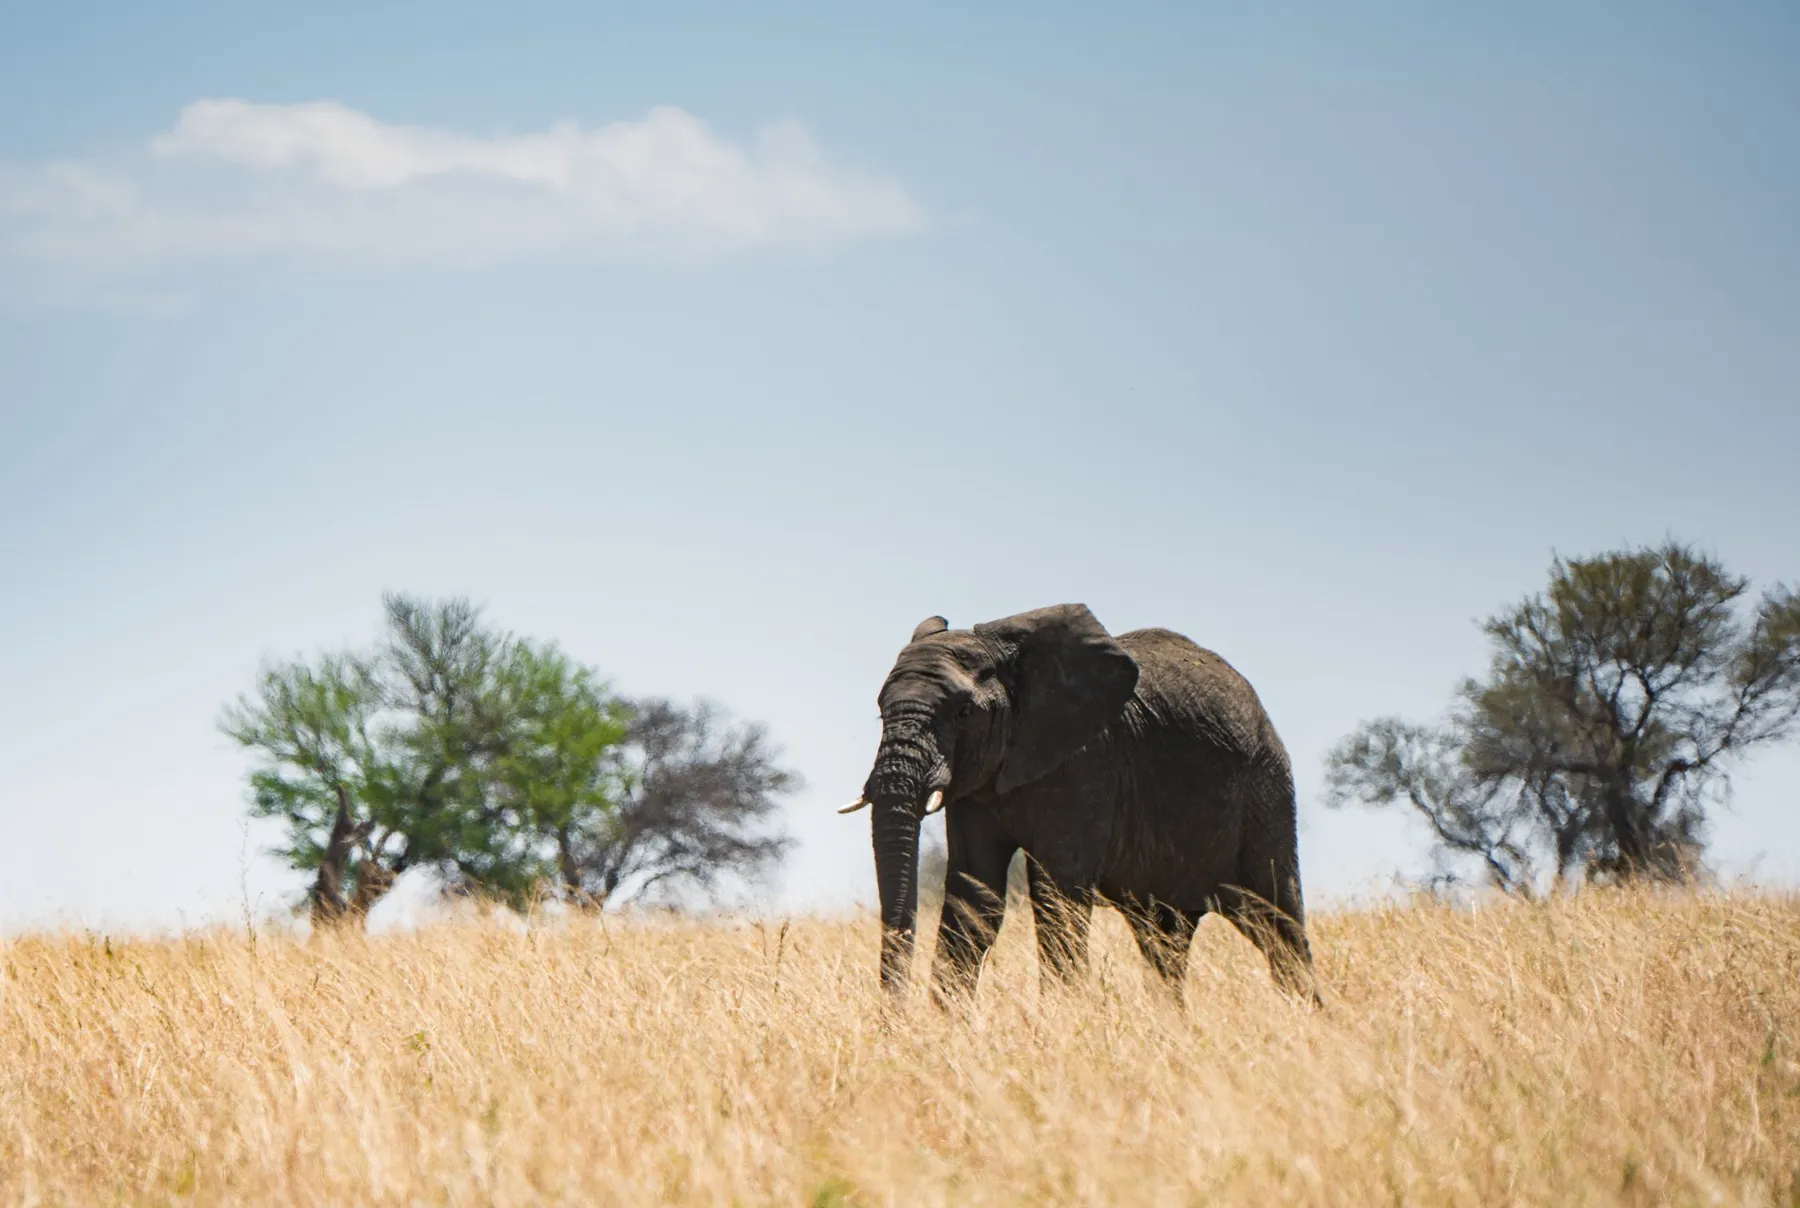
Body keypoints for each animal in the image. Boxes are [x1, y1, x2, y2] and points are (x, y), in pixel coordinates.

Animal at [841, 603, 1318, 1005]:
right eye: (881, 714)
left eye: (963, 713)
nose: (894, 1019)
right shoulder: (976, 785)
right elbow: (975, 899)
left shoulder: (1086, 765)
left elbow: (1056, 894)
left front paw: (1059, 1020)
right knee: (1165, 938)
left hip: (1266, 786)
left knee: (1277, 919)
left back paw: (1303, 1017)